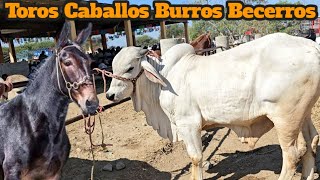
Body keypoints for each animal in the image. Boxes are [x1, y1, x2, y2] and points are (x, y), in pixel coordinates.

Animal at [107, 32, 320, 180]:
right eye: (114, 68)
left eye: (130, 68)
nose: (109, 95)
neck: (165, 76)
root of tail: (312, 47)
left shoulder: (188, 124)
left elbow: (195, 158)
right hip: (303, 114)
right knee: (311, 143)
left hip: (286, 118)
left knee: (292, 155)